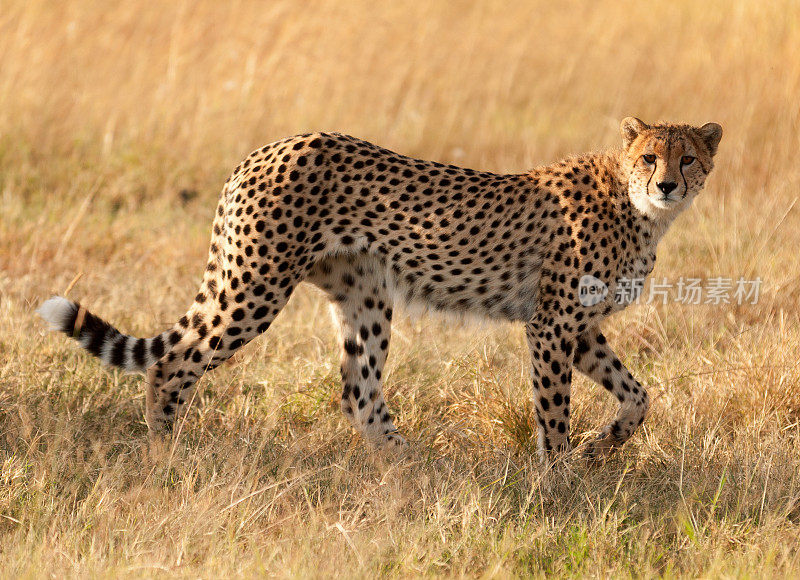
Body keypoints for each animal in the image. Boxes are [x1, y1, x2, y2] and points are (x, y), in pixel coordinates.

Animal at [37, 118, 724, 460]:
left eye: (687, 158)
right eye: (649, 158)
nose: (667, 184)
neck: (636, 208)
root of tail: (264, 149)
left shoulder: (580, 328)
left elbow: (638, 397)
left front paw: (600, 449)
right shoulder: (552, 324)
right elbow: (553, 410)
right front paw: (557, 481)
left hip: (363, 296)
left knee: (358, 393)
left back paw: (412, 466)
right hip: (255, 285)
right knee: (173, 362)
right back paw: (166, 454)